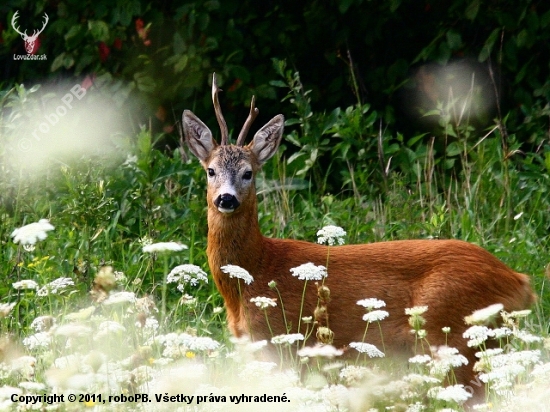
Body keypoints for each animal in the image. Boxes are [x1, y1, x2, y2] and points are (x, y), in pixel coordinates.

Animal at [183, 73, 536, 392]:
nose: (226, 199)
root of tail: (519, 281)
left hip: (456, 336)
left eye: (248, 173)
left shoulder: (276, 339)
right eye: (210, 170)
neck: (253, 272)